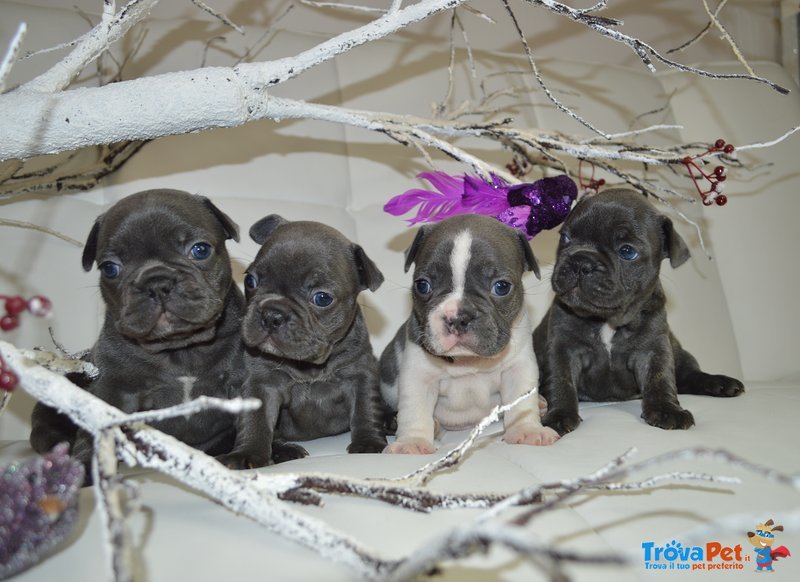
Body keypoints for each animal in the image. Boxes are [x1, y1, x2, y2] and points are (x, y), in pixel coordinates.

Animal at [29, 189, 245, 476]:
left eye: (200, 250)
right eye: (110, 268)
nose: (157, 282)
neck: (179, 348)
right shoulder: (114, 390)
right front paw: (88, 466)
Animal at [219, 216, 388, 470]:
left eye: (322, 298)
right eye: (250, 280)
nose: (272, 314)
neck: (308, 365)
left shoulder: (360, 374)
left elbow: (365, 408)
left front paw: (369, 442)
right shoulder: (262, 383)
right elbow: (255, 420)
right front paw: (247, 453)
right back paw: (284, 451)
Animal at [380, 214, 556, 456]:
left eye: (502, 287)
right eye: (422, 285)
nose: (458, 317)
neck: (468, 360)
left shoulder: (518, 369)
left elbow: (521, 403)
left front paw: (527, 430)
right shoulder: (419, 375)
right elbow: (414, 410)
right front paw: (411, 443)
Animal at [532, 189, 744, 436]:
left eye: (627, 252)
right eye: (565, 238)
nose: (581, 261)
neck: (608, 319)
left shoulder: (653, 350)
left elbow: (659, 379)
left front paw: (667, 409)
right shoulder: (563, 348)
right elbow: (561, 381)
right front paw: (559, 415)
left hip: (680, 353)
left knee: (688, 376)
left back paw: (721, 383)